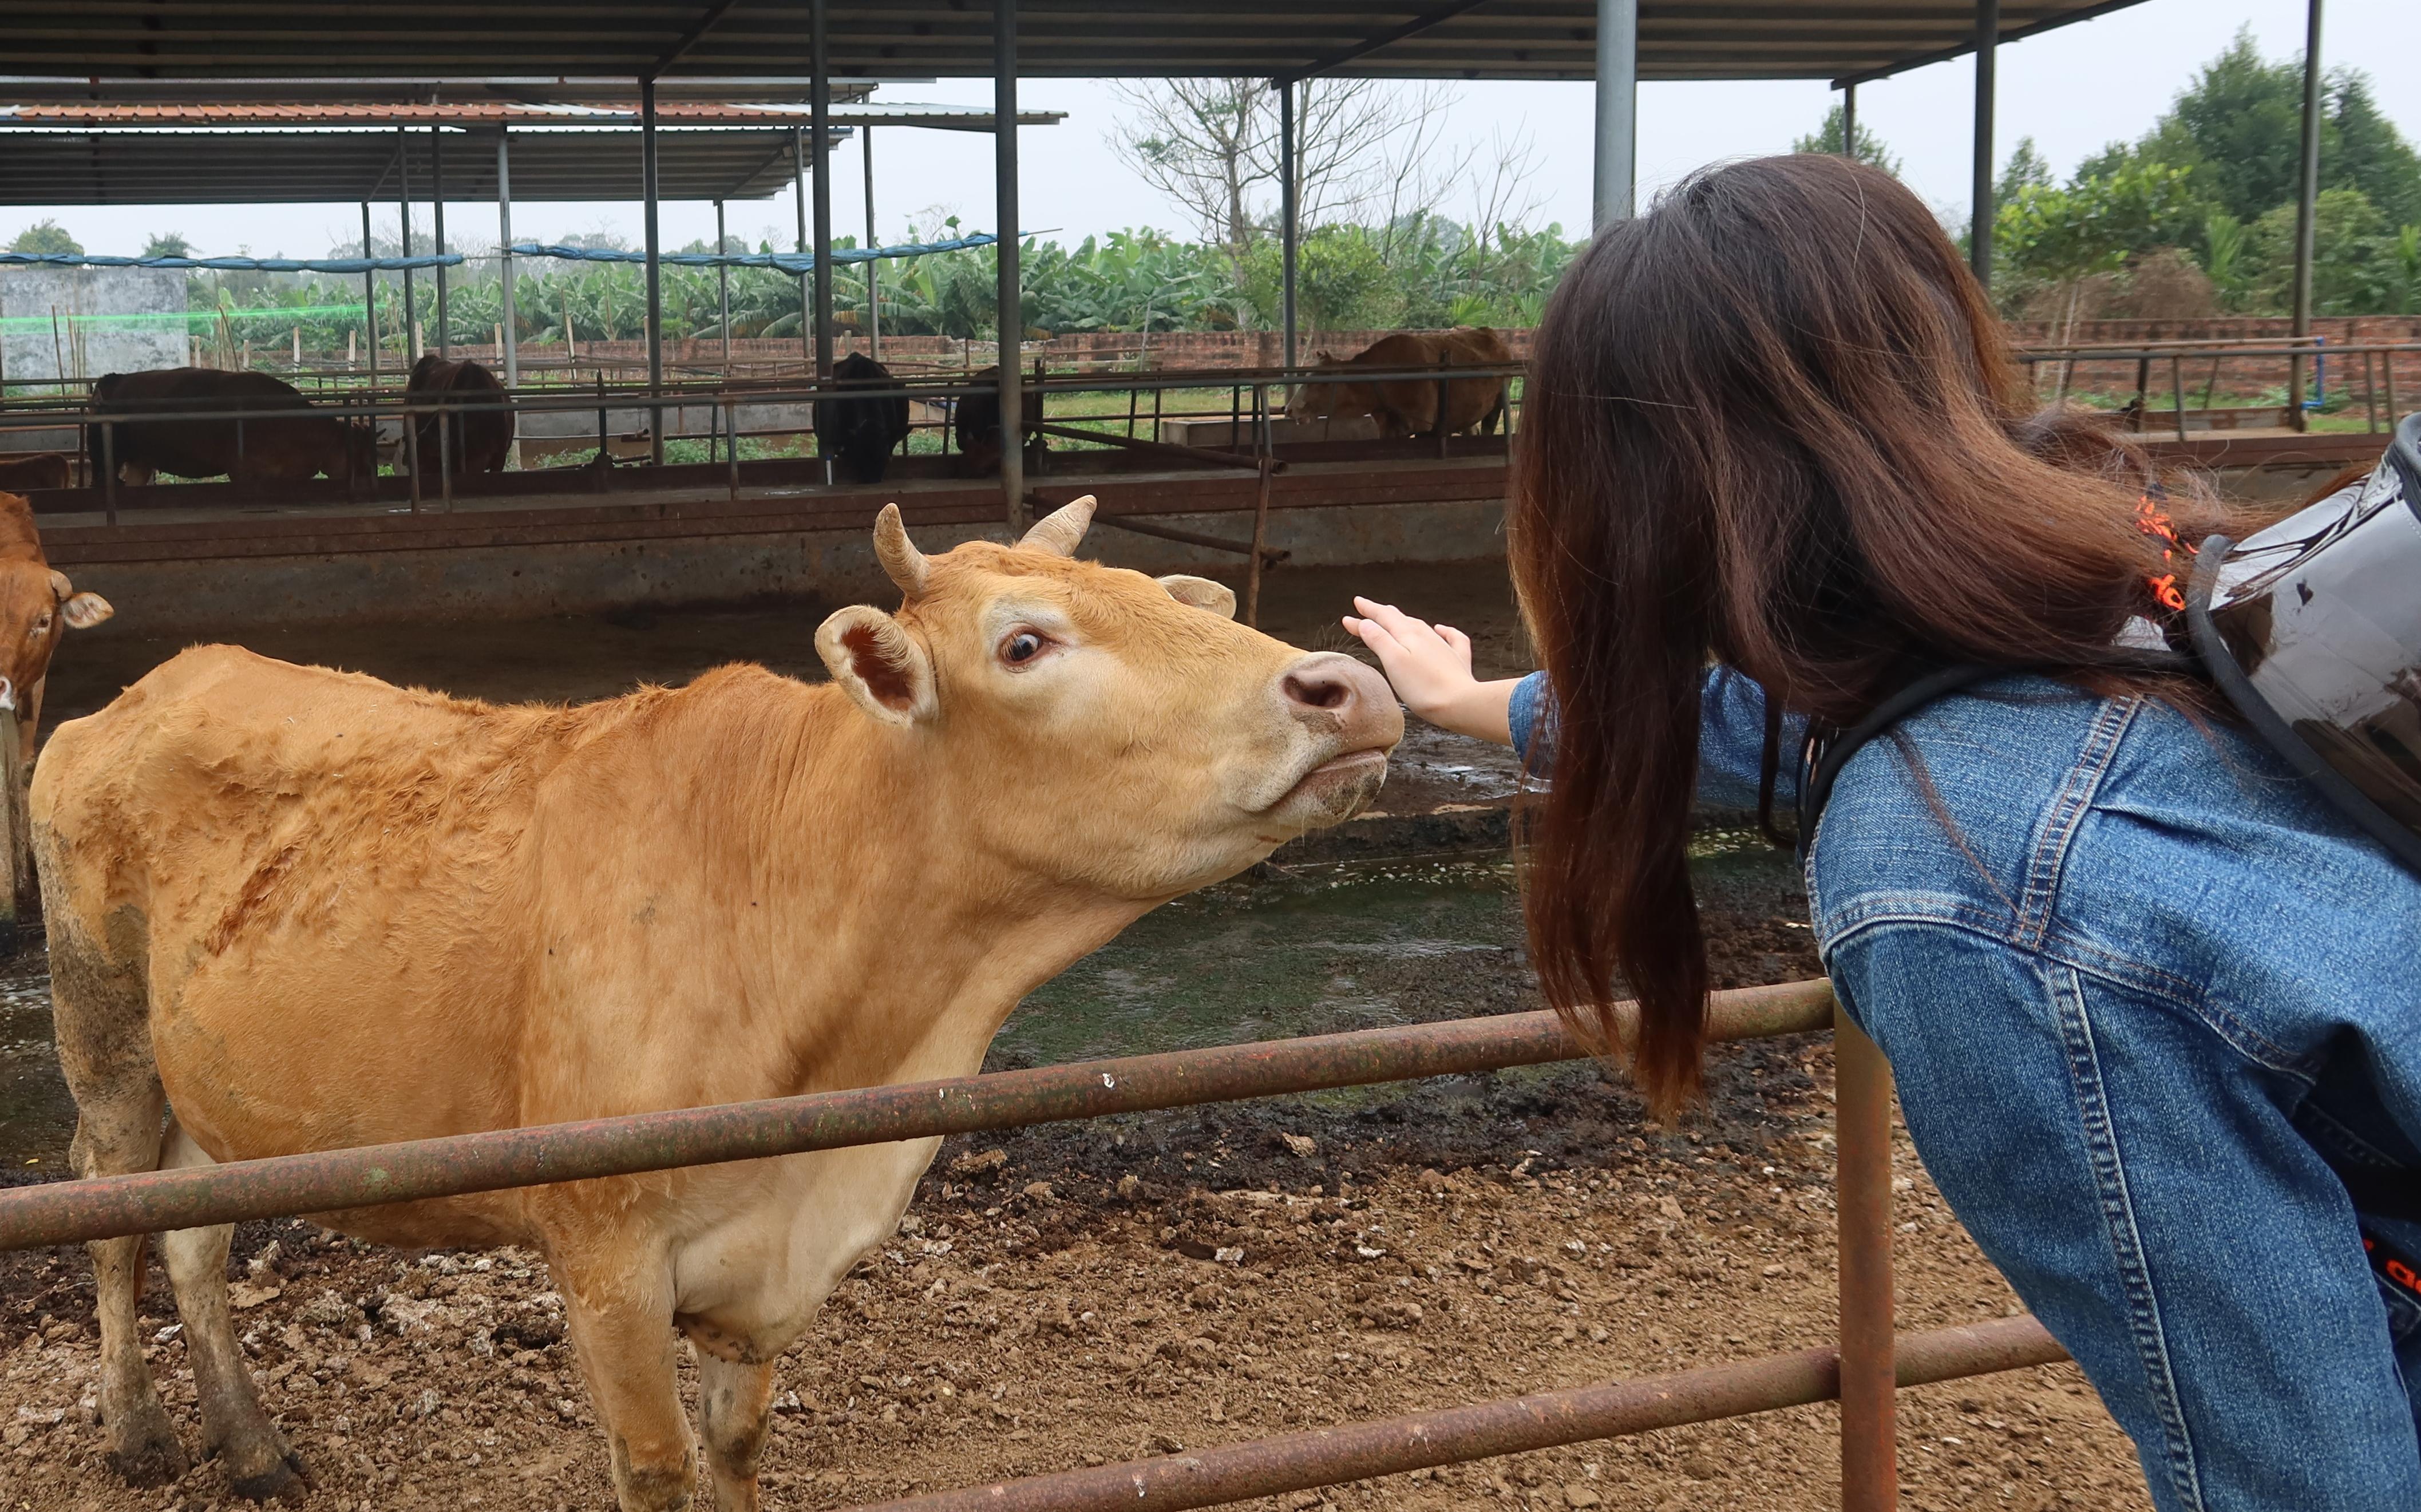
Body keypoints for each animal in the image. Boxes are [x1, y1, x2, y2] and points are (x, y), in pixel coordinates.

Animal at [33, 493, 1404, 1499]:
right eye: (1024, 642)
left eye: (1164, 599)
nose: (1349, 683)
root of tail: (158, 683)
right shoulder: (602, 1256)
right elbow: (656, 1467)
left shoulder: (767, 1275)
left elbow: (739, 1446)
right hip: (101, 1032)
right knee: (106, 1203)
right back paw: (135, 1432)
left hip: (214, 1082)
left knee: (192, 1231)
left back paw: (253, 1446)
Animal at [88, 365, 373, 484]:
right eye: (357, 454)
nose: (367, 477)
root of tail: (112, 380)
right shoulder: (241, 472)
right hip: (105, 460)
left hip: (141, 462)